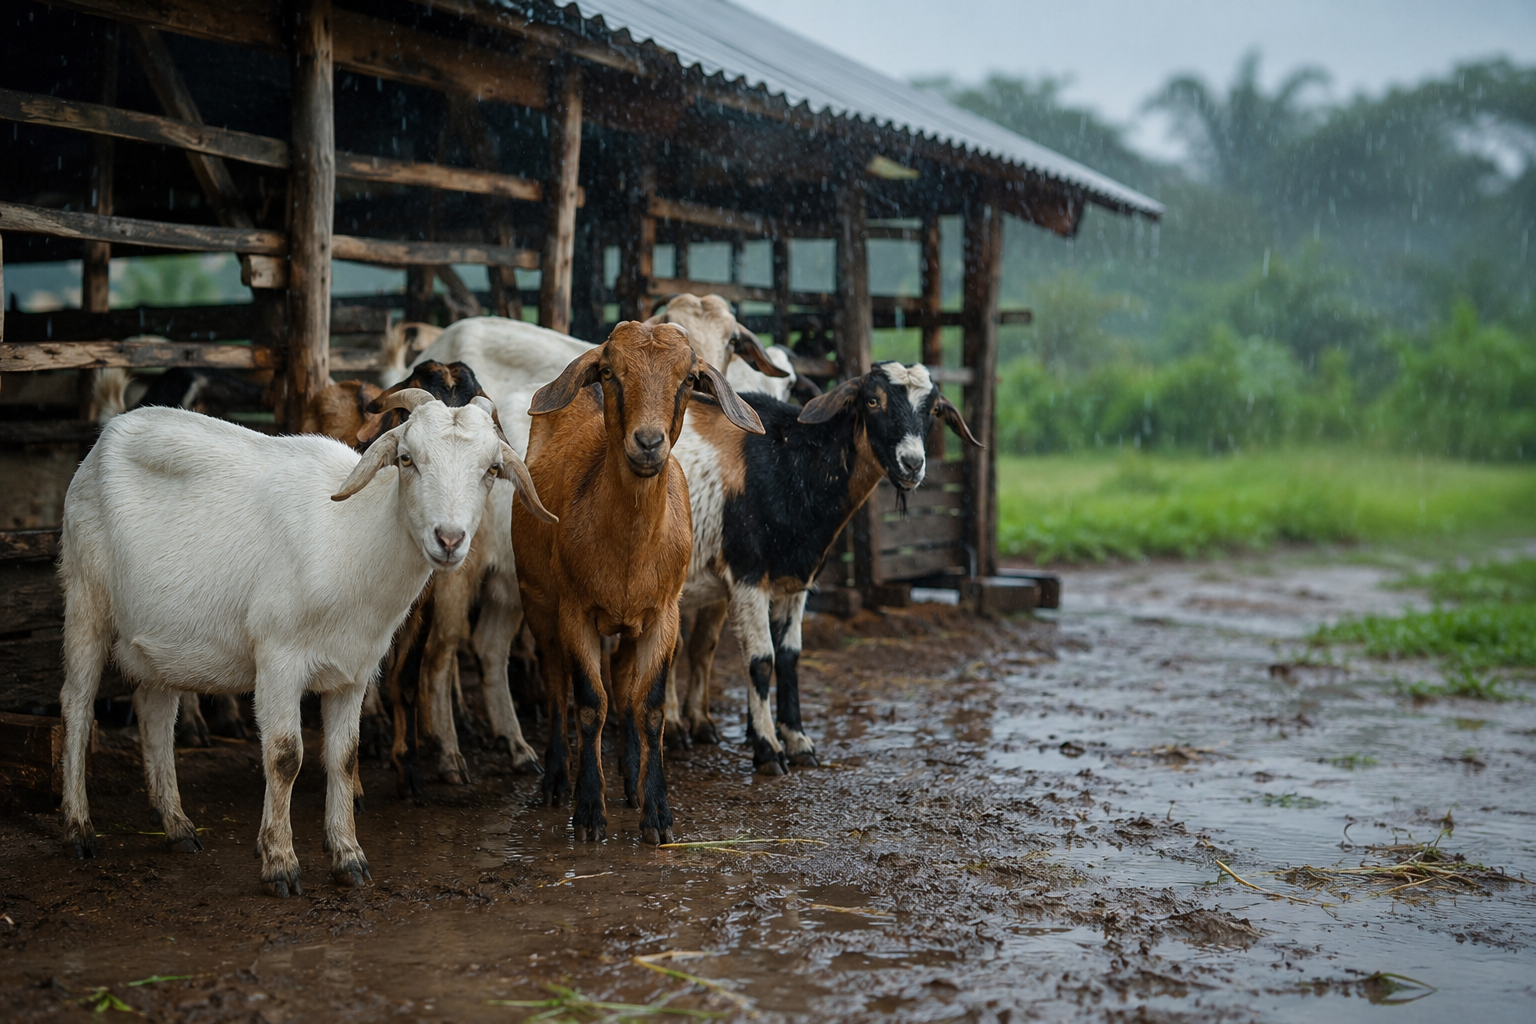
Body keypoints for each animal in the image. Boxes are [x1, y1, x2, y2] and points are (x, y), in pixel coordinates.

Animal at [57, 391, 553, 896]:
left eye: (491, 469)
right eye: (407, 459)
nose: (449, 539)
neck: (353, 536)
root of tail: (107, 436)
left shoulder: (354, 671)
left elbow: (344, 757)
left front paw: (349, 857)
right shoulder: (279, 657)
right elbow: (284, 756)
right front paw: (279, 862)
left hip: (161, 639)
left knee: (155, 714)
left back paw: (178, 827)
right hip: (85, 596)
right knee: (77, 705)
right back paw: (79, 830)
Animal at [514, 321, 763, 843]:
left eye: (688, 379)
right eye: (610, 372)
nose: (647, 443)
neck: (627, 551)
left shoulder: (663, 615)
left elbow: (648, 708)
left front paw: (657, 815)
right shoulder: (575, 612)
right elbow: (590, 704)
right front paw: (589, 812)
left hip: (627, 626)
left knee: (624, 685)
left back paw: (629, 780)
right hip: (536, 600)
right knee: (556, 685)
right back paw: (555, 780)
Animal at [668, 362, 982, 772]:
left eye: (933, 409)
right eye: (872, 401)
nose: (912, 464)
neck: (790, 463)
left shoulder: (793, 580)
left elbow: (789, 657)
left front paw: (798, 742)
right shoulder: (747, 575)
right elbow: (761, 660)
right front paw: (768, 749)